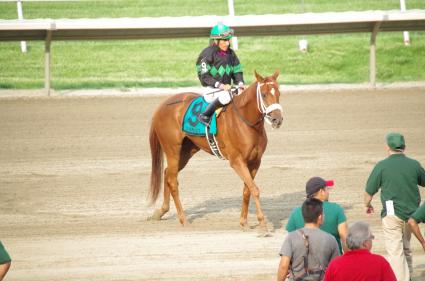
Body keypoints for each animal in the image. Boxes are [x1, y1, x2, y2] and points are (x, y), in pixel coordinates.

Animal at [147, 70, 284, 234]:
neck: (246, 122)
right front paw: (262, 224)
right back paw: (183, 220)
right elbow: (254, 189)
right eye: (263, 94)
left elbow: (247, 190)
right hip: (172, 150)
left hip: (186, 152)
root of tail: (162, 105)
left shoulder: (255, 162)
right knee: (173, 181)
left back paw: (161, 211)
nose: (277, 120)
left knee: (167, 173)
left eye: (278, 93)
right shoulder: (237, 161)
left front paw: (243, 222)